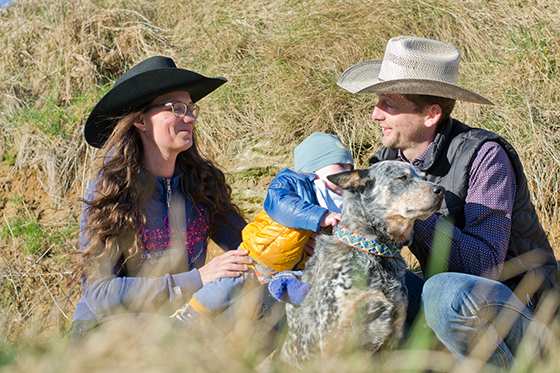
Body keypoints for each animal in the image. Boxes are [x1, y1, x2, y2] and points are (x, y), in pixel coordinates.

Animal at [282, 161, 444, 366]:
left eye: (424, 177)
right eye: (402, 177)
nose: (441, 190)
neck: (374, 250)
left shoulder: (396, 330)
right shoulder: (333, 339)